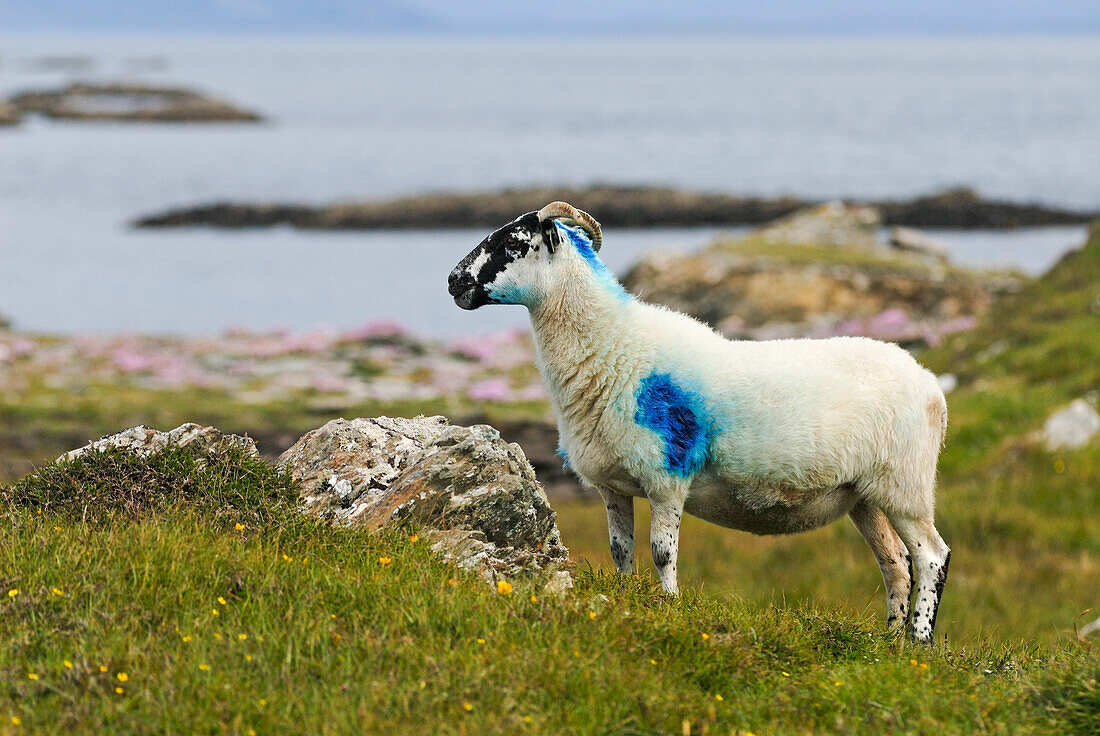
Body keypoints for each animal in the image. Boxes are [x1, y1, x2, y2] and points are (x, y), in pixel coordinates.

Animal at [446, 201, 954, 642]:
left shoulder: (667, 473)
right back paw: (890, 642)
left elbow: (661, 550)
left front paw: (669, 607)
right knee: (895, 563)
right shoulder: (612, 485)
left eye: (513, 241)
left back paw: (919, 641)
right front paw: (626, 596)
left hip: (905, 485)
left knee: (931, 557)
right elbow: (621, 550)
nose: (452, 281)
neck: (614, 344)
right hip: (865, 495)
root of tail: (932, 385)